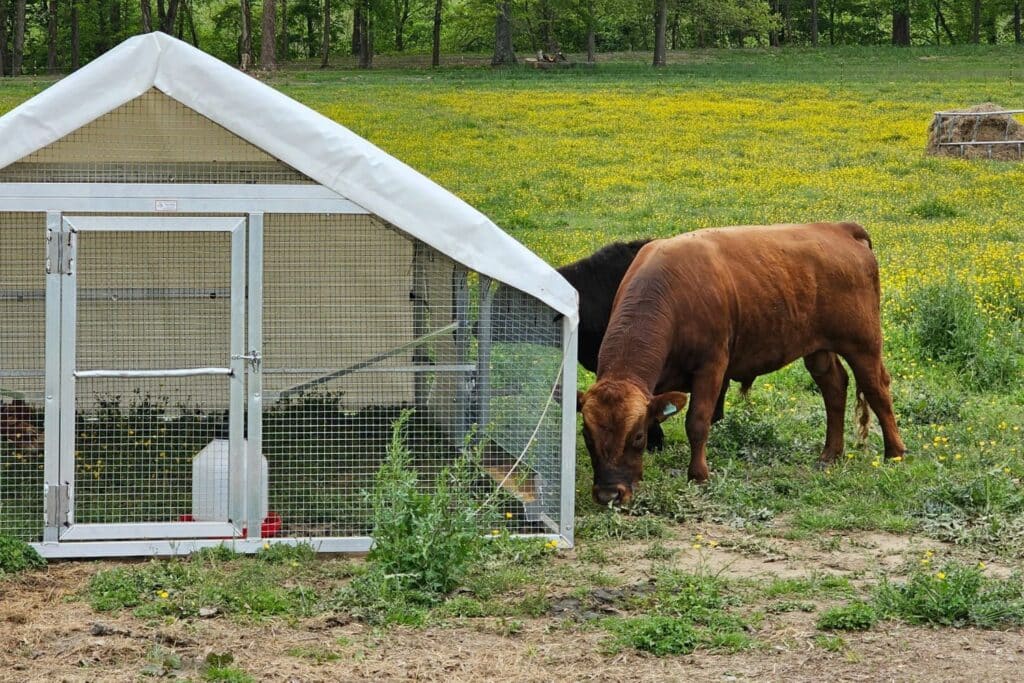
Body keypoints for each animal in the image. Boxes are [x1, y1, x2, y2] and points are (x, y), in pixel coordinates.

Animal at [581, 222, 909, 505]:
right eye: (587, 435)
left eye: (637, 436)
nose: (609, 494)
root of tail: (839, 228)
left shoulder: (711, 367)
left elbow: (697, 422)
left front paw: (698, 475)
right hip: (817, 348)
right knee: (834, 388)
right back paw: (830, 453)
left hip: (863, 343)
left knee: (877, 389)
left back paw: (894, 452)